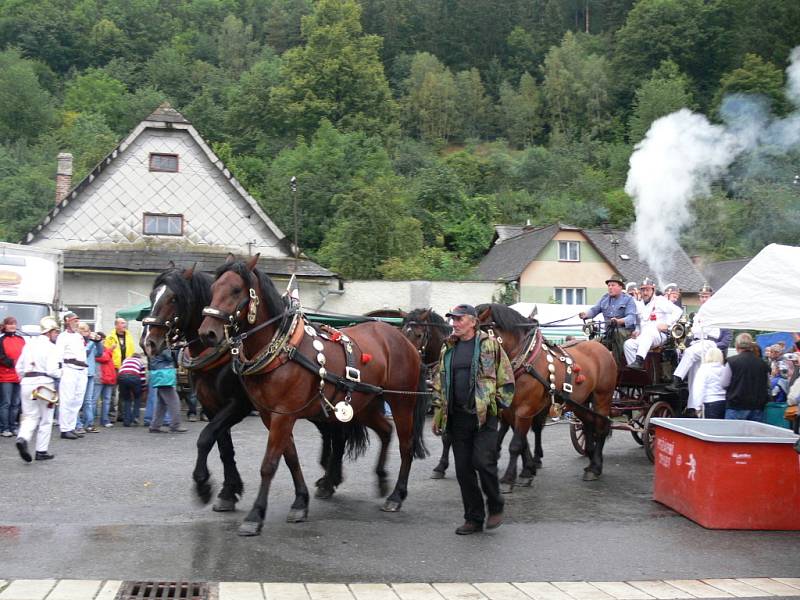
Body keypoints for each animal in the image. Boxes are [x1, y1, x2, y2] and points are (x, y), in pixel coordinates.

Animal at [198, 255, 428, 536]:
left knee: (406, 445)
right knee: (385, 431)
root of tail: (404, 340)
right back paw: (382, 478)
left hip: (402, 401)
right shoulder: (270, 415)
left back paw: (396, 495)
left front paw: (255, 515)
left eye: (235, 290)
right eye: (212, 289)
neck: (283, 350)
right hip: (365, 404)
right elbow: (290, 458)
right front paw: (300, 502)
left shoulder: (283, 415)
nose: (207, 333)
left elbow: (269, 464)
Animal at [478, 304, 616, 482]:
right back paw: (591, 459)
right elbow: (522, 440)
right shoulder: (510, 410)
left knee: (601, 427)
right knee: (588, 423)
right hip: (579, 402)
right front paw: (528, 468)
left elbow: (516, 444)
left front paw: (512, 476)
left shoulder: (525, 409)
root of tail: (602, 347)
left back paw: (596, 466)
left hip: (602, 397)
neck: (525, 359)